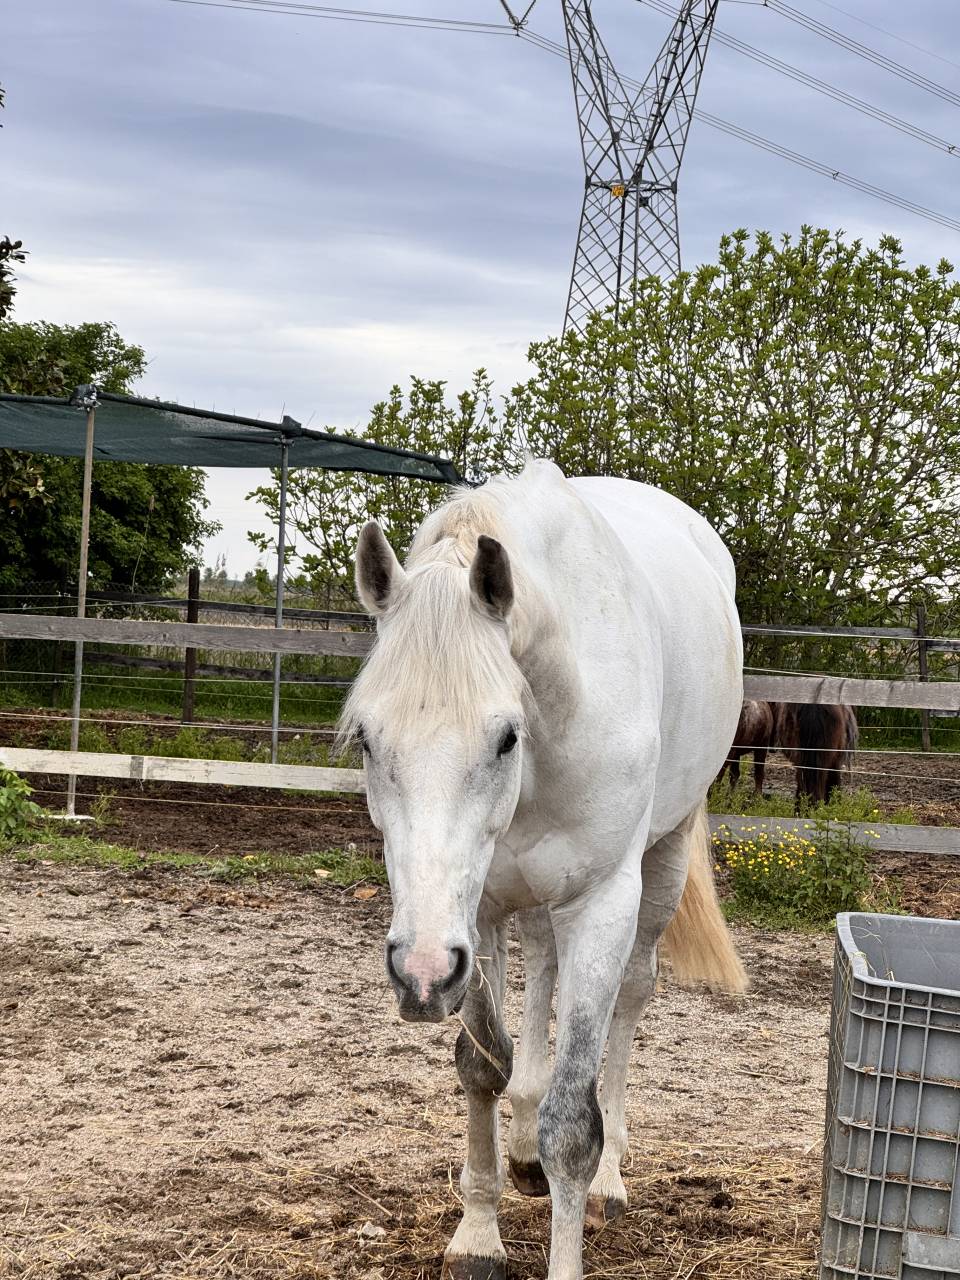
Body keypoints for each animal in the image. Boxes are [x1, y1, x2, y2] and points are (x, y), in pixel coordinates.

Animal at [342, 459, 747, 1280]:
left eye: (505, 736)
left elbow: (574, 1123)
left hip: (660, 865)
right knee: (542, 969)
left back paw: (611, 1181)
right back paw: (523, 1150)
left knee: (630, 998)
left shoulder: (600, 903)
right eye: (367, 737)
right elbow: (481, 1066)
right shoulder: (474, 913)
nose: (418, 974)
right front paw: (478, 1235)